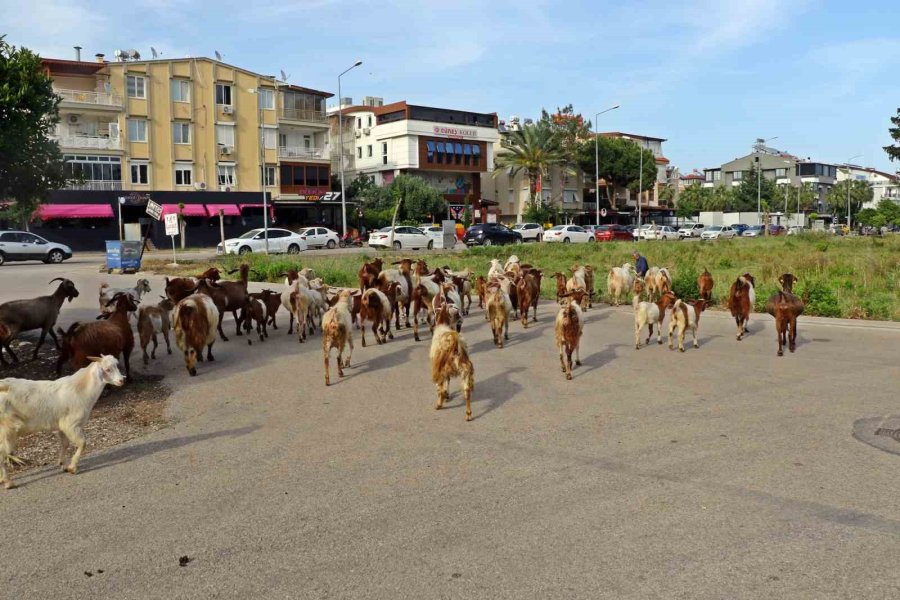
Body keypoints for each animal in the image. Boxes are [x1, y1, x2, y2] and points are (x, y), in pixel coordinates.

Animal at [0, 356, 125, 488]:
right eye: (107, 369)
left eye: (117, 365)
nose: (122, 380)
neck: (80, 390)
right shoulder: (71, 425)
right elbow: (82, 443)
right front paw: (72, 468)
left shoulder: (61, 426)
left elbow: (65, 444)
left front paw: (62, 464)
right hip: (8, 428)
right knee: (2, 452)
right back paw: (8, 482)